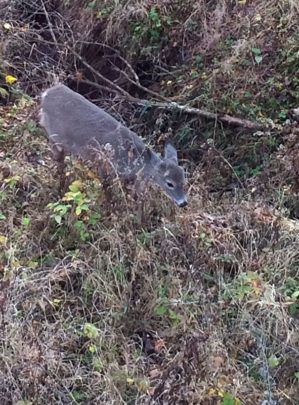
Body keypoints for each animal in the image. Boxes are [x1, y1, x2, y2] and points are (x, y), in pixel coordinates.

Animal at [39, 83, 188, 207]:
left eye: (183, 181)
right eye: (169, 183)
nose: (183, 203)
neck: (132, 159)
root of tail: (46, 93)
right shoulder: (104, 164)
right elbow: (107, 188)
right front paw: (111, 205)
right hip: (54, 137)